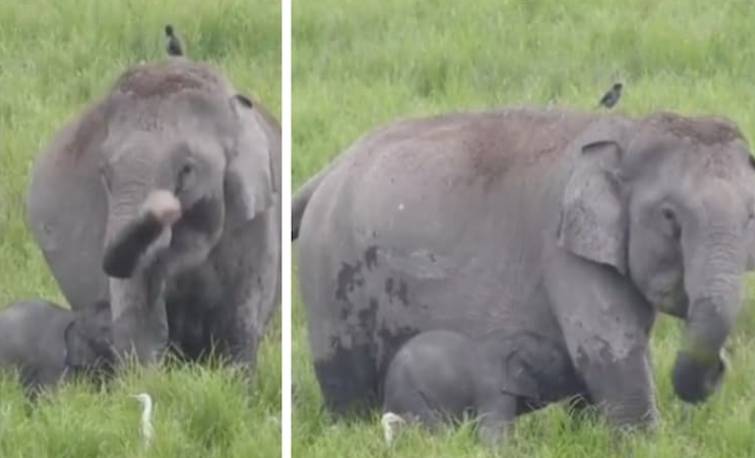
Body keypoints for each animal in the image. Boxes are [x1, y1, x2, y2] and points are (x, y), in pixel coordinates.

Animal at [26, 58, 282, 372]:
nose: (164, 207)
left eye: (187, 171)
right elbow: (139, 319)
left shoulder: (253, 214)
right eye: (104, 173)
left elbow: (237, 320)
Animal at [292, 107, 755, 430]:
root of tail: (330, 170)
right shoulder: (565, 251)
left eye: (752, 216)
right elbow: (609, 356)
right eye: (669, 217)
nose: (721, 367)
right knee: (349, 388)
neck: (628, 131)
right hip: (331, 276)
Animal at [384, 330, 584, 444]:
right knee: (437, 428)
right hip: (409, 394)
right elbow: (491, 431)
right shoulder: (493, 389)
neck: (510, 343)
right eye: (563, 374)